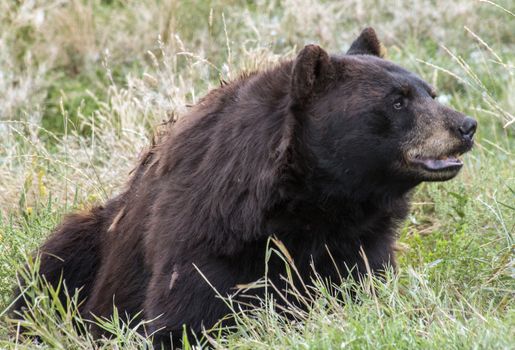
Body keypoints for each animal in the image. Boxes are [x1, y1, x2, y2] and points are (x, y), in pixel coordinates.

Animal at [12, 28, 478, 348]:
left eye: (430, 92)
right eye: (397, 101)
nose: (466, 125)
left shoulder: (361, 244)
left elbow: (369, 292)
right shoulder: (207, 239)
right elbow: (183, 316)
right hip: (82, 245)